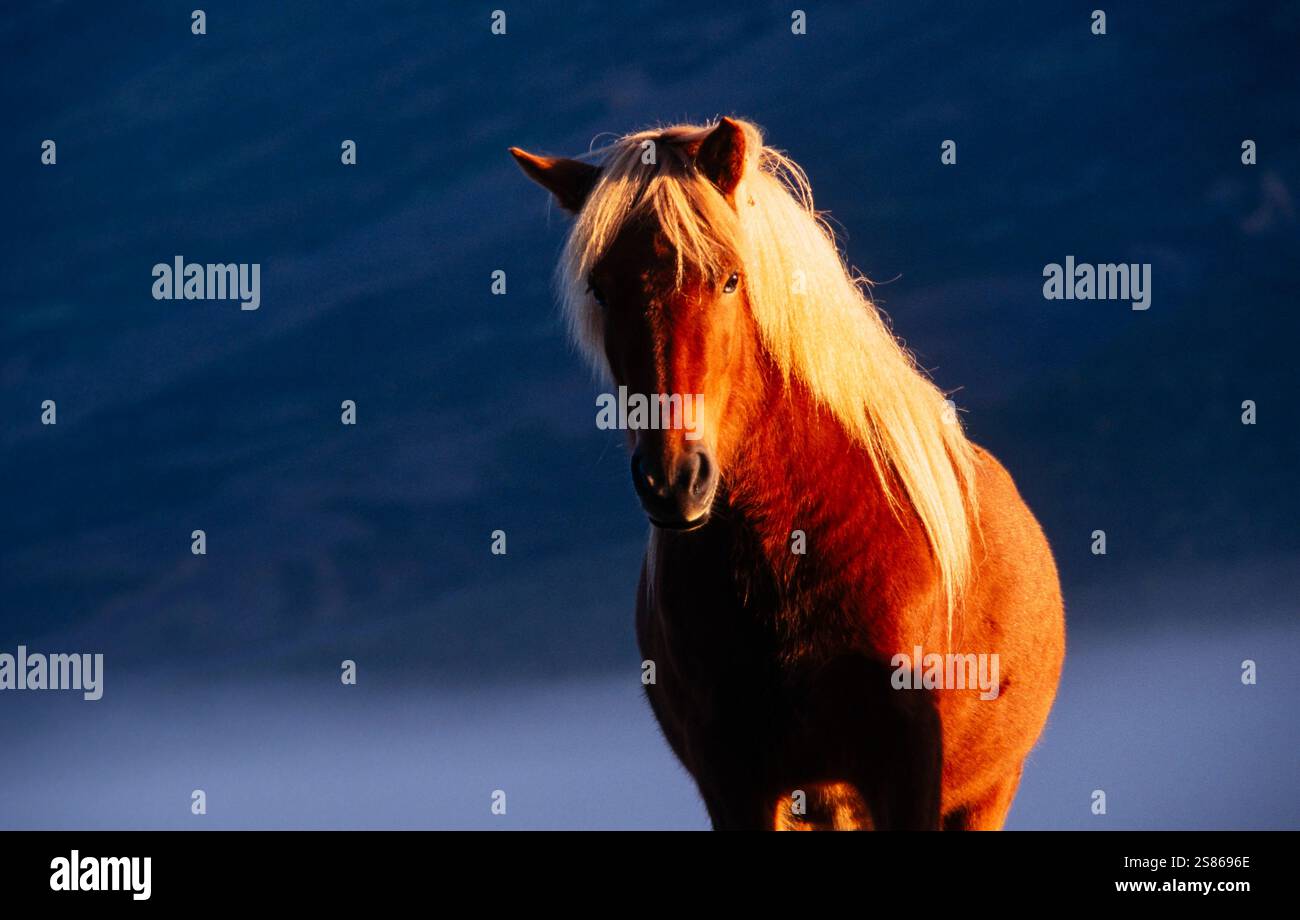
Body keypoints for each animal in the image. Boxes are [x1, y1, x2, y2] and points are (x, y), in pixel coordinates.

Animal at [510, 117, 1065, 830]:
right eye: (601, 290)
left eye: (728, 280)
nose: (672, 478)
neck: (797, 544)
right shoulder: (736, 782)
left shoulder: (908, 774)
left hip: (983, 794)